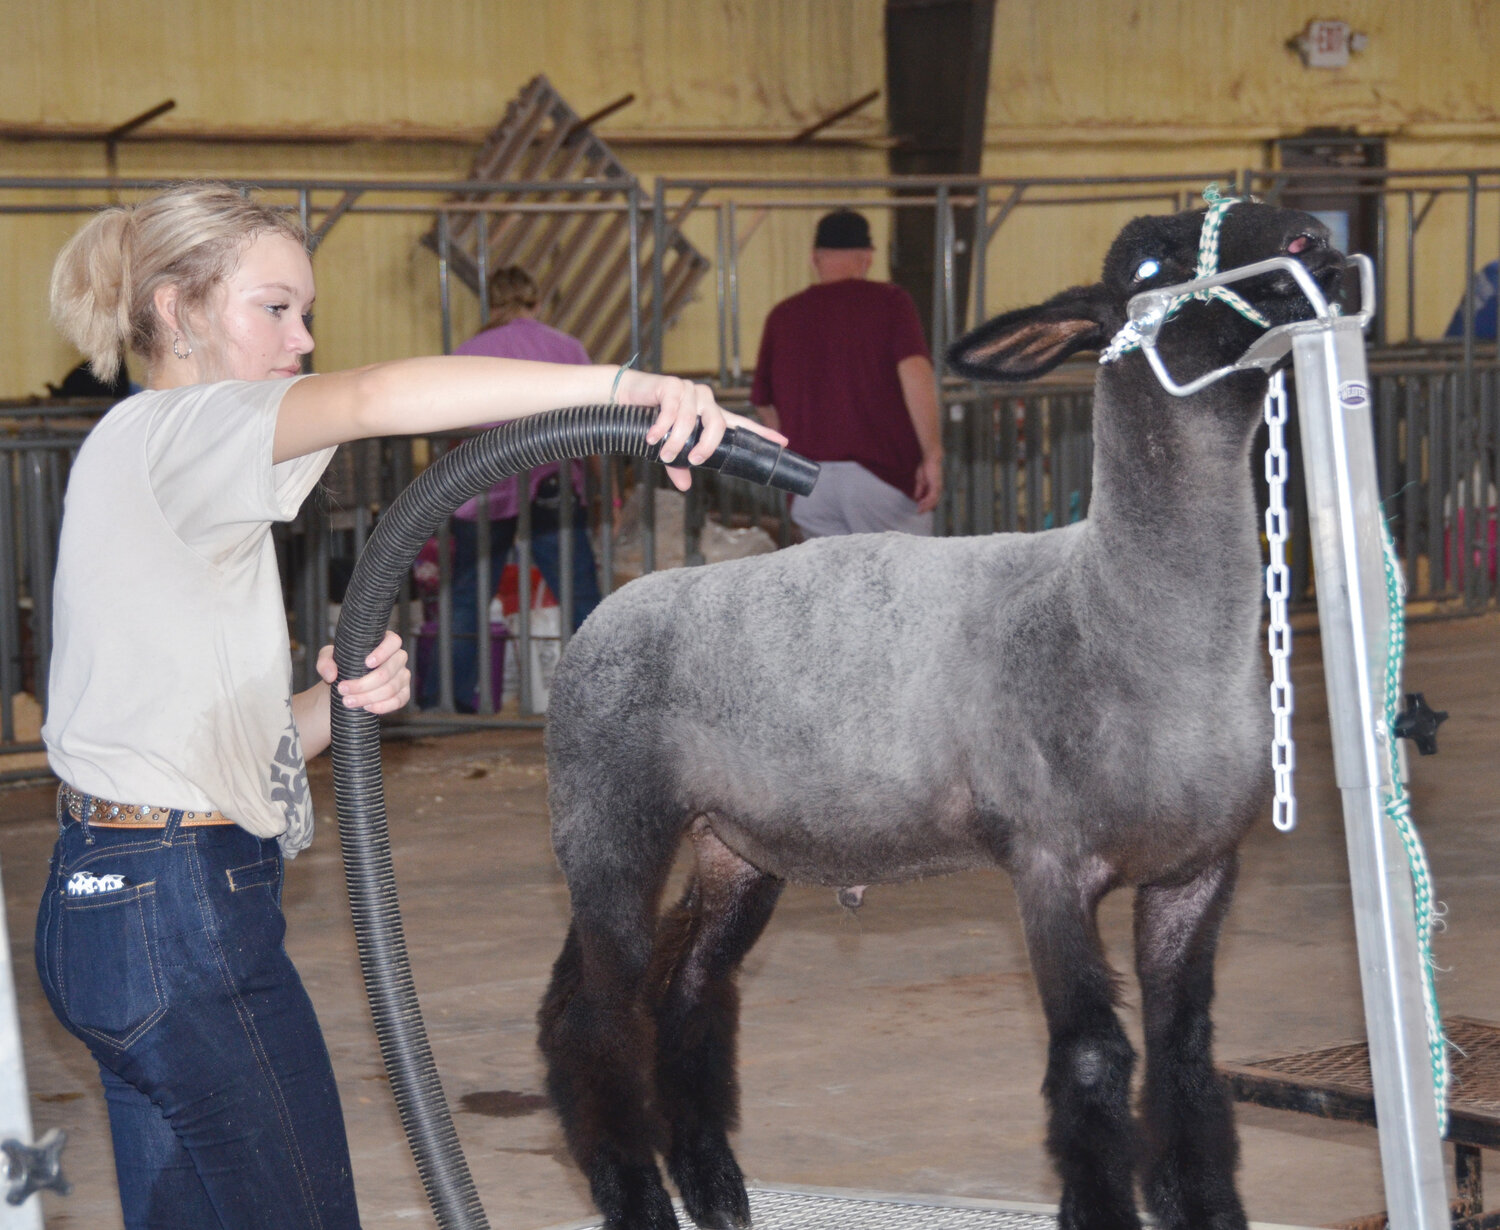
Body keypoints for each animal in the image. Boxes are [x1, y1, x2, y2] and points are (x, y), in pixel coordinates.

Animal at [537, 202, 1350, 1230]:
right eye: (1149, 268)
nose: (1315, 244)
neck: (1114, 614)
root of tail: (608, 610)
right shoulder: (1049, 861)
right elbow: (1094, 1060)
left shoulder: (1196, 871)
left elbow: (1190, 1059)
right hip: (610, 820)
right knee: (598, 1017)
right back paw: (638, 1195)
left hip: (736, 845)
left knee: (682, 991)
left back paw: (715, 1188)